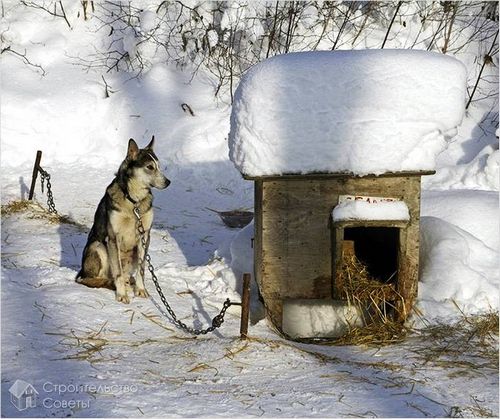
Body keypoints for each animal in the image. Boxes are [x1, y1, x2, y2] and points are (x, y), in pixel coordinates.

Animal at [75, 138, 170, 306]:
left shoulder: (145, 236)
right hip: (99, 247)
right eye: (149, 167)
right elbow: (117, 272)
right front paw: (121, 295)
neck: (134, 201)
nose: (168, 182)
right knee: (94, 279)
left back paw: (128, 282)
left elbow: (142, 269)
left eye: (159, 166)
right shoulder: (113, 237)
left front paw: (140, 290)